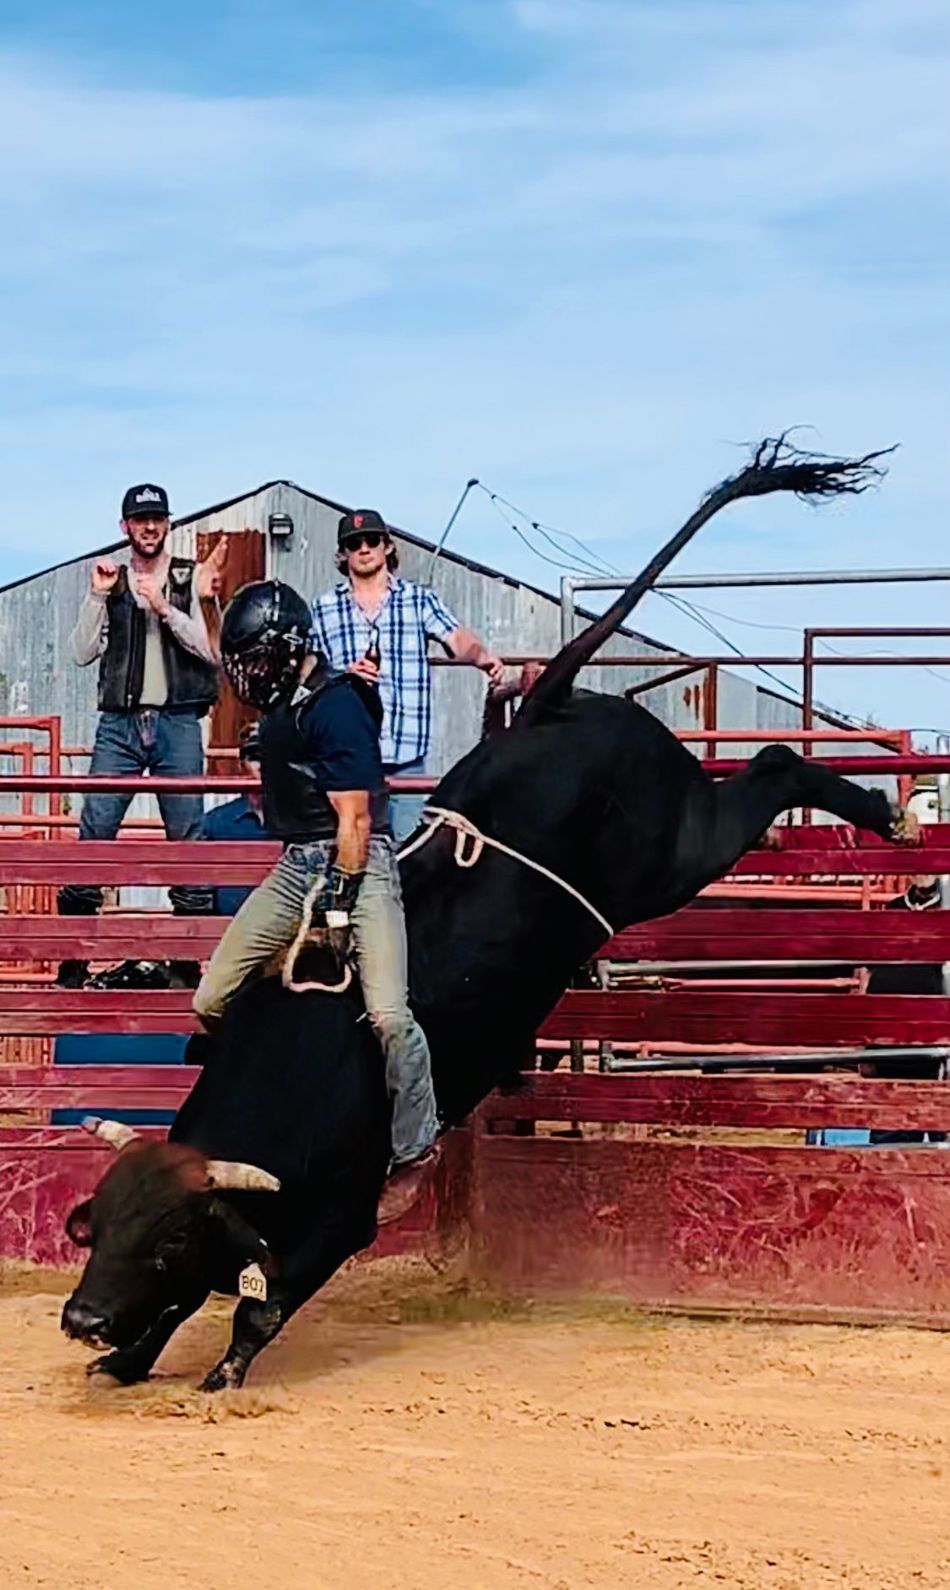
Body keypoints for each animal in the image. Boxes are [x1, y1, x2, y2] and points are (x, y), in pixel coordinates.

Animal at [61, 438, 914, 1391]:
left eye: (166, 1239)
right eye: (103, 1224)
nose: (82, 1317)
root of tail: (551, 702)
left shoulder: (341, 1218)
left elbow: (262, 1299)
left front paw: (223, 1373)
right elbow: (195, 1302)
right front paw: (128, 1358)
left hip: (679, 850)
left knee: (772, 764)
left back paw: (888, 814)